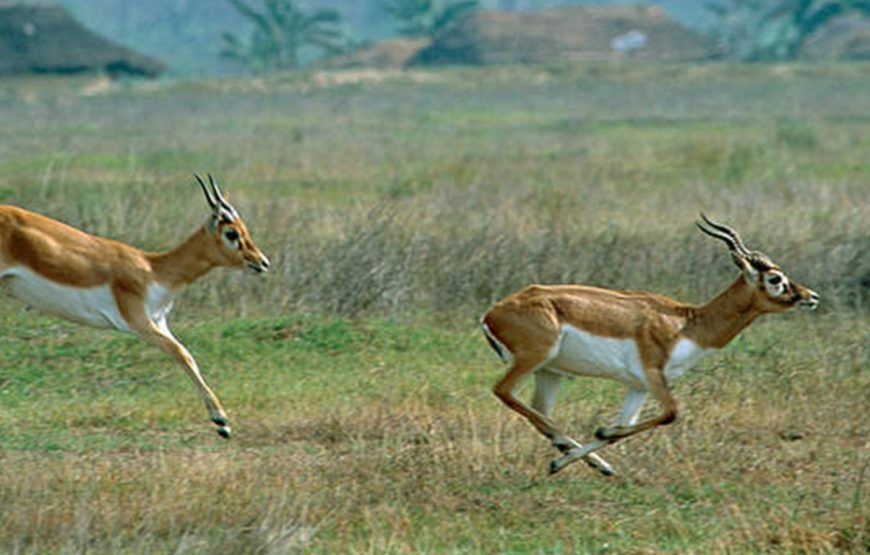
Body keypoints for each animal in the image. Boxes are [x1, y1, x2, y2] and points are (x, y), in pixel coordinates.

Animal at [0, 176, 270, 440]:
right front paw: (221, 422)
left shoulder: (159, 323)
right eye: (232, 233)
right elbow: (181, 353)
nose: (262, 262)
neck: (154, 270)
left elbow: (188, 356)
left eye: (245, 229)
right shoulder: (139, 323)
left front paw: (222, 422)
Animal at [480, 215, 820, 476]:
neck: (686, 323)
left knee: (541, 412)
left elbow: (624, 426)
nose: (811, 296)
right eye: (775, 279)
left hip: (550, 372)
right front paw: (601, 432)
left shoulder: (639, 386)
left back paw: (584, 461)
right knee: (503, 392)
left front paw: (591, 452)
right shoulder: (654, 374)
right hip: (534, 358)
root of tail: (492, 313)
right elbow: (670, 413)